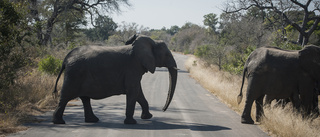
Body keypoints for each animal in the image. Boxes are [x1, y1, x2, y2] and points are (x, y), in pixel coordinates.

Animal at [51, 34, 179, 124]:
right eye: (167, 55)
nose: (163, 110)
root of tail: (66, 59)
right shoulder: (132, 67)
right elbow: (133, 91)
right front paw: (132, 123)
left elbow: (138, 92)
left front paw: (147, 117)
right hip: (75, 74)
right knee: (66, 96)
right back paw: (59, 122)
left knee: (85, 98)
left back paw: (93, 120)